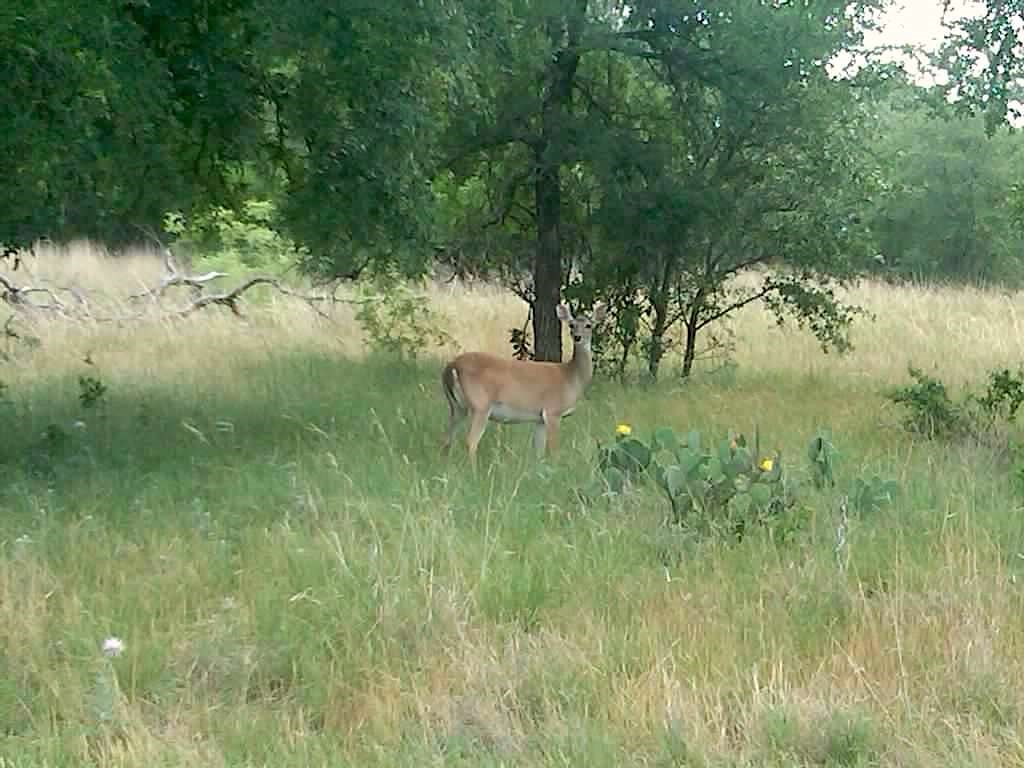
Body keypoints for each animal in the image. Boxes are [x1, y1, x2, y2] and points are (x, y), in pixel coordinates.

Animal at [442, 303, 602, 466]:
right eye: (571, 325)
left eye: (589, 325)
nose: (577, 337)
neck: (571, 377)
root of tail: (452, 366)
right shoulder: (553, 412)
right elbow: (553, 451)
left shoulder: (540, 419)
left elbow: (538, 452)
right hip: (480, 405)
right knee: (470, 442)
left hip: (456, 407)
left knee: (447, 439)